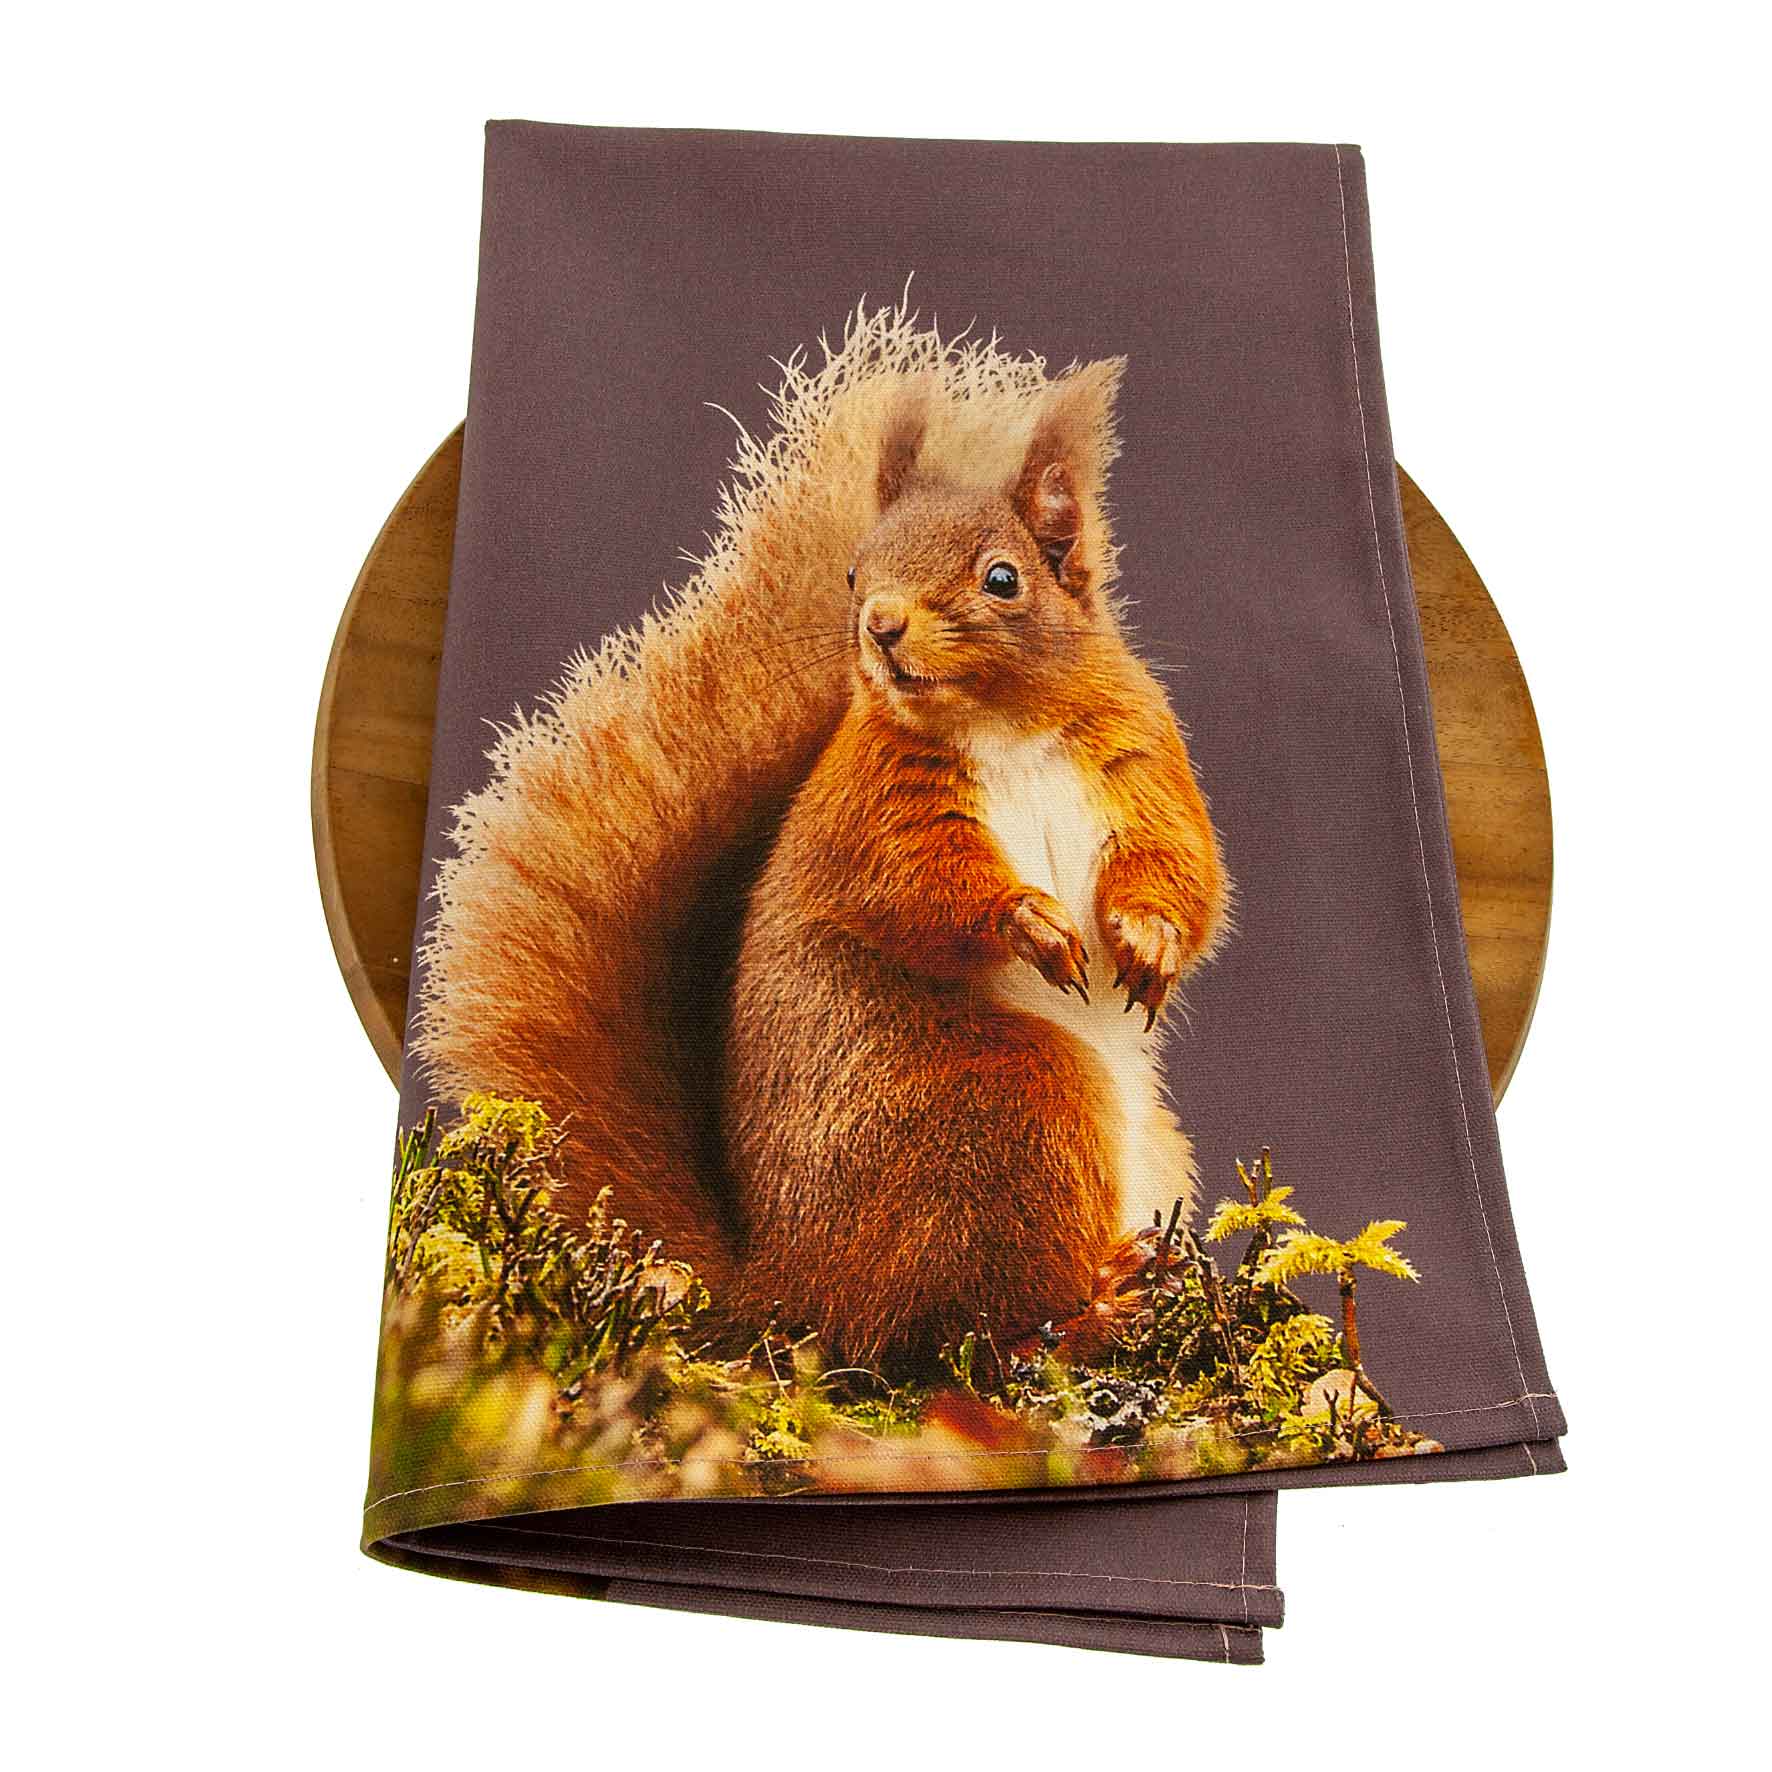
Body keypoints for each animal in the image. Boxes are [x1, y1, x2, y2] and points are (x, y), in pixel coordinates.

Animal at [414, 301, 1229, 1375]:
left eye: (1002, 578)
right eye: (853, 570)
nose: (880, 624)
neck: (1003, 723)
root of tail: (791, 1290)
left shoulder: (1142, 761)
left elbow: (1181, 865)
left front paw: (1149, 939)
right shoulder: (874, 806)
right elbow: (920, 886)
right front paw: (1030, 920)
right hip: (1013, 1112)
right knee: (961, 1333)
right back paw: (1094, 1308)